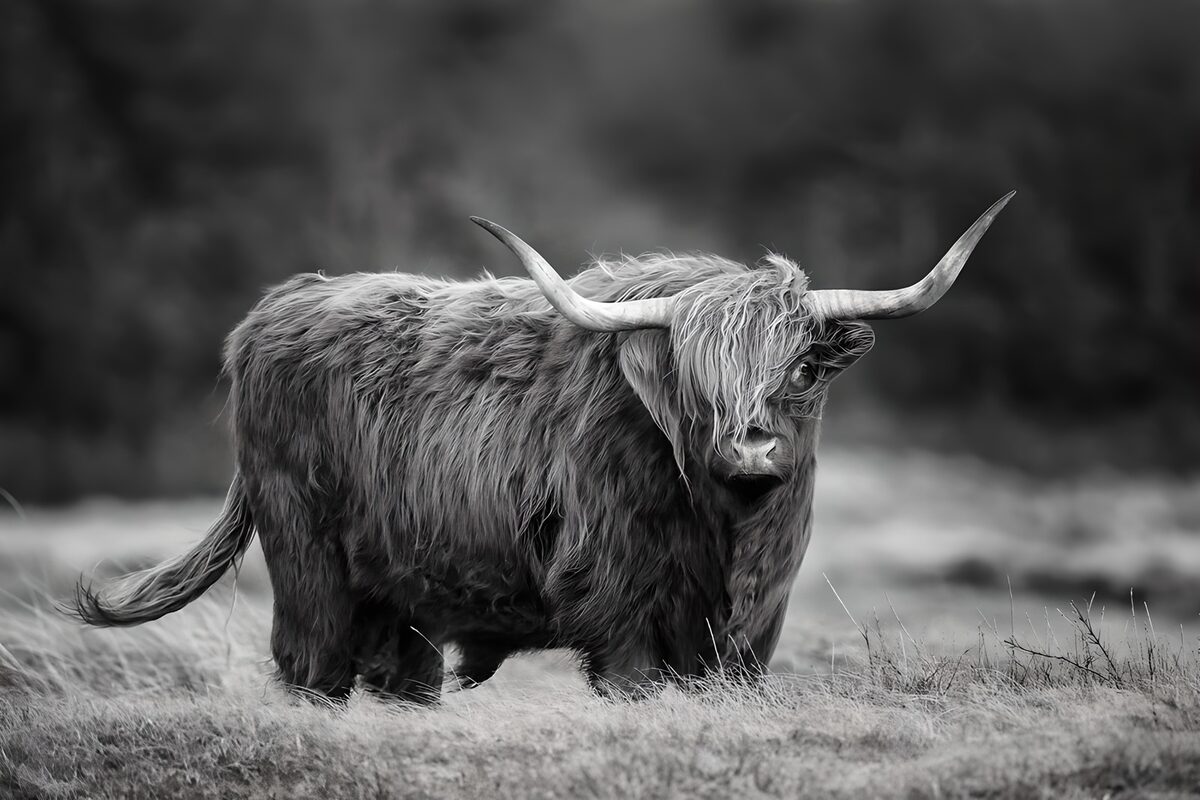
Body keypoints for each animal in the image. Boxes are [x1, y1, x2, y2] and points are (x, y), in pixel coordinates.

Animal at [70, 193, 1013, 703]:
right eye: (695, 377)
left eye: (805, 370)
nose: (751, 449)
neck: (724, 531)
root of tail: (275, 309)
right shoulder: (617, 604)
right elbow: (633, 679)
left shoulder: (755, 625)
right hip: (307, 560)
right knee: (314, 668)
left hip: (399, 590)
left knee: (402, 675)